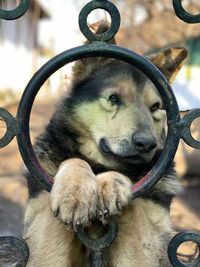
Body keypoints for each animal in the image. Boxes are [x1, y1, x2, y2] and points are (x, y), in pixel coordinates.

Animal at [23, 24, 188, 266]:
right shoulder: (41, 235)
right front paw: (74, 189)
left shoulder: (147, 242)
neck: (98, 165)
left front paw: (110, 183)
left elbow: (133, 205)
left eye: (156, 107)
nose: (147, 144)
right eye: (113, 98)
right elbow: (74, 160)